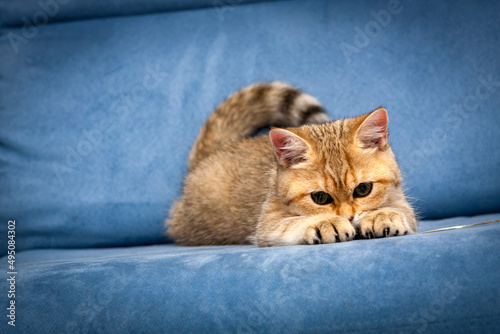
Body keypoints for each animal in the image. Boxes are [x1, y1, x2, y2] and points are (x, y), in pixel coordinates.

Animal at [166, 82, 416, 247]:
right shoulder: (267, 225)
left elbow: (401, 211)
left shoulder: (403, 204)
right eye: (320, 198)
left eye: (363, 189)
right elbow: (293, 223)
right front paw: (325, 222)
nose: (348, 218)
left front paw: (382, 215)